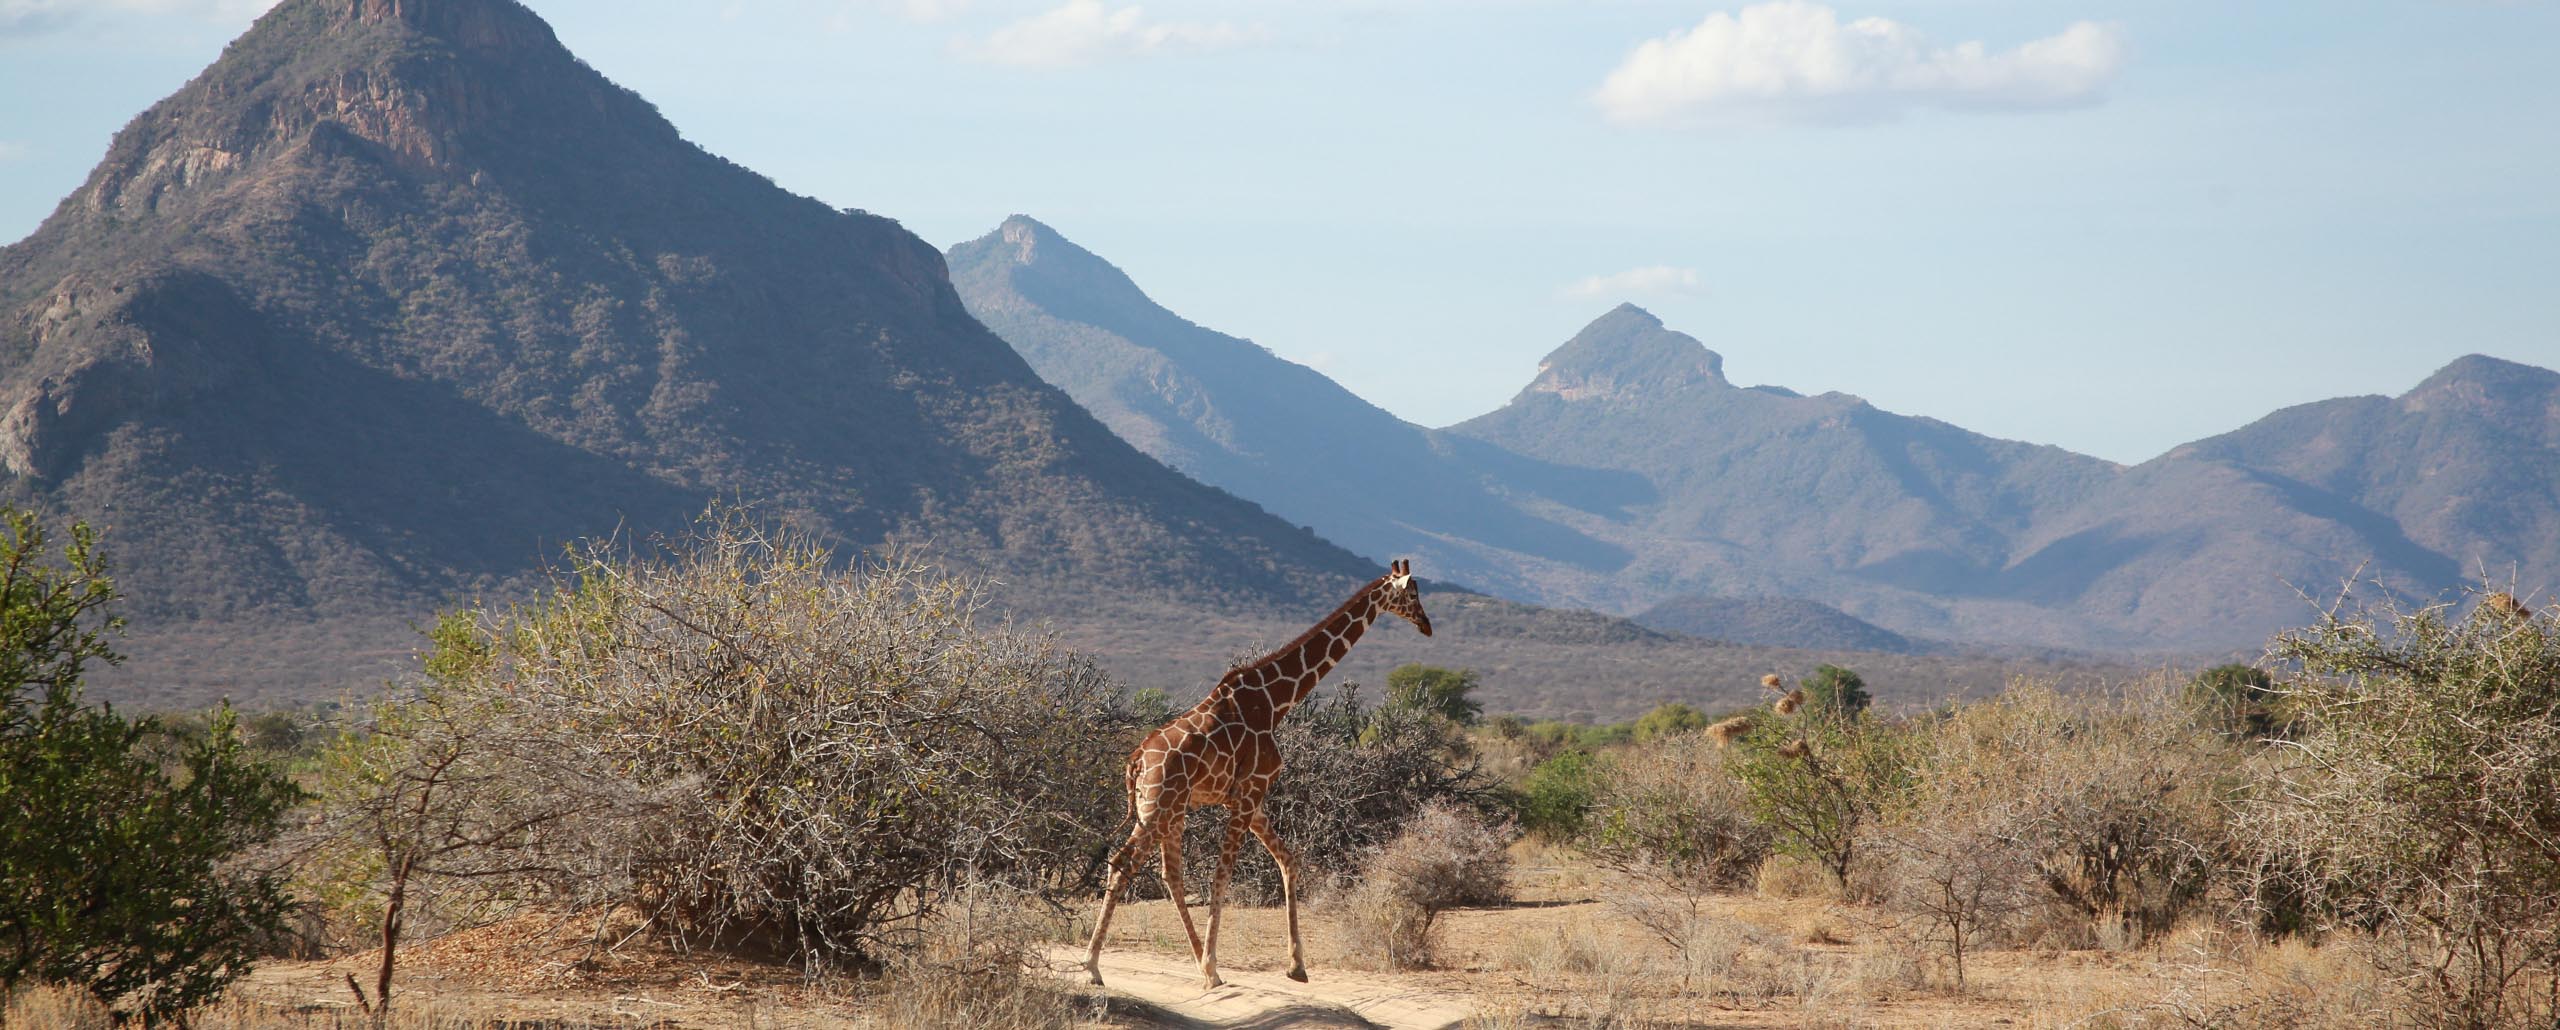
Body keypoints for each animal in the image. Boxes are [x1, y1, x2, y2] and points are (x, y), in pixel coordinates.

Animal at [1085, 563, 1443, 989]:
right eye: (1412, 595)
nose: (1427, 625)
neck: (1275, 702)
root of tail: (1137, 759)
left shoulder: (1251, 799)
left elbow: (1289, 861)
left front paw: (1296, 966)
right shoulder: (1248, 793)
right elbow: (1223, 874)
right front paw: (1214, 964)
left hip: (1166, 809)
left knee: (1169, 873)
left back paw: (1193, 964)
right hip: (1159, 808)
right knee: (1123, 861)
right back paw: (1094, 966)